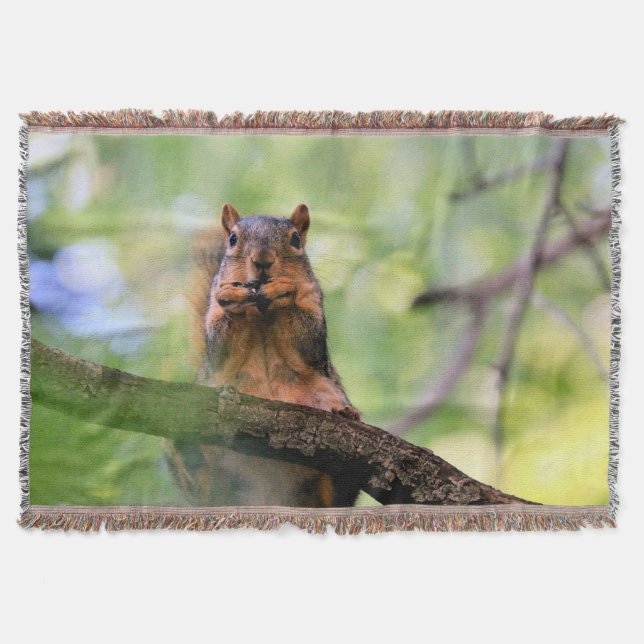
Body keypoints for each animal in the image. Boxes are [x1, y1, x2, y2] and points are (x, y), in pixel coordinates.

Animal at [165, 203, 362, 508]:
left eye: (296, 239)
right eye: (232, 239)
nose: (262, 260)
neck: (262, 314)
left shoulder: (313, 307)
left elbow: (307, 342)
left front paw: (283, 292)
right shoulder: (215, 321)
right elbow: (219, 346)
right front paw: (233, 299)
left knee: (336, 494)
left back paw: (346, 416)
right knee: (205, 488)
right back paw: (184, 447)